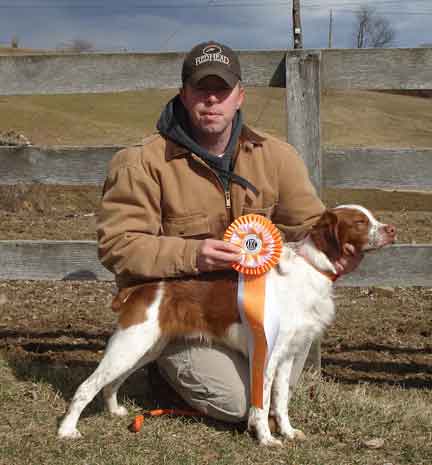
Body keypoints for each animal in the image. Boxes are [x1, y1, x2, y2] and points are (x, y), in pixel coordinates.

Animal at [57, 205, 394, 444]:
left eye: (372, 218)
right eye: (360, 222)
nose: (392, 230)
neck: (310, 269)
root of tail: (141, 288)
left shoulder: (287, 356)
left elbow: (281, 401)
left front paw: (287, 432)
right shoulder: (267, 355)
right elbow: (261, 404)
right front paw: (266, 439)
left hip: (146, 347)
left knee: (111, 383)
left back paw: (115, 411)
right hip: (131, 344)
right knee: (87, 386)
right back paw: (67, 430)